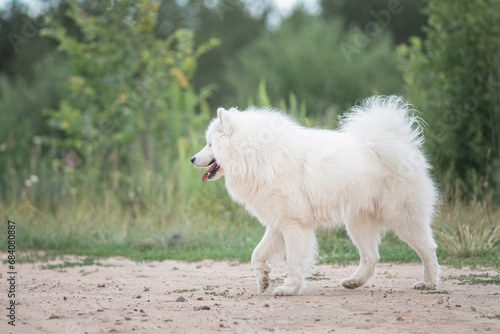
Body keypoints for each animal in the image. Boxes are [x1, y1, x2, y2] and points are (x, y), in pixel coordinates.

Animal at [191, 96, 438, 294]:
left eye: (210, 144)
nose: (192, 159)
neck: (257, 152)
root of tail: (396, 143)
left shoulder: (294, 225)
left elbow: (293, 261)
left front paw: (289, 289)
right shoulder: (278, 224)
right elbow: (256, 254)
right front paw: (263, 279)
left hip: (403, 217)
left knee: (427, 249)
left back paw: (429, 283)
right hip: (358, 224)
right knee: (372, 256)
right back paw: (354, 282)